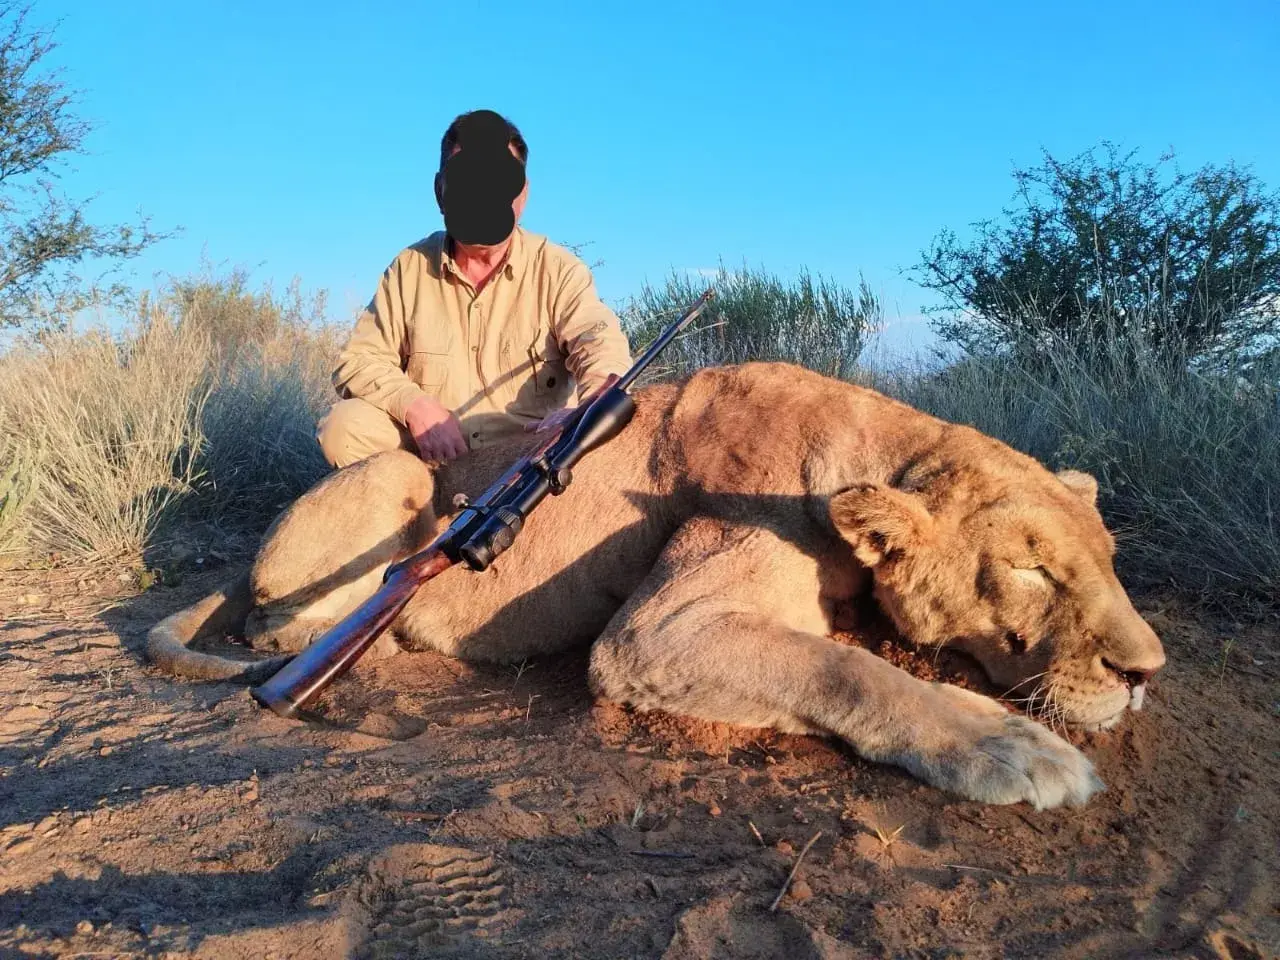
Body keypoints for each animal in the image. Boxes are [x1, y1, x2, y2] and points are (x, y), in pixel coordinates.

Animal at [146, 361, 1165, 810]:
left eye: (1108, 559)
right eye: (1031, 566)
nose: (1145, 673)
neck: (873, 449)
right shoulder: (655, 632)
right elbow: (850, 670)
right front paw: (1014, 750)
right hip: (395, 475)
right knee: (276, 623)